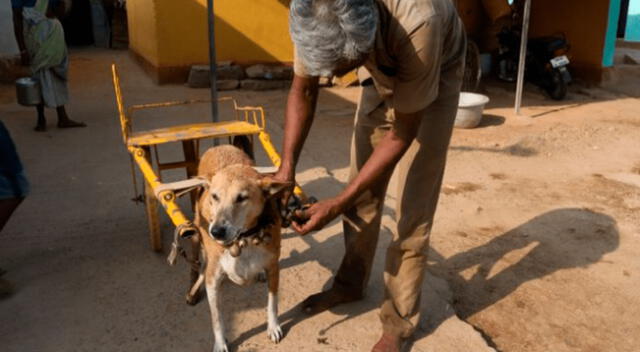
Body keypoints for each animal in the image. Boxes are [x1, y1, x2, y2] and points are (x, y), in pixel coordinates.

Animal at [189, 144, 288, 350]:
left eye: (242, 198)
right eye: (215, 197)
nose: (216, 231)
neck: (245, 239)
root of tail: (221, 146)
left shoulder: (274, 267)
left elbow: (272, 302)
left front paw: (273, 327)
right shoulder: (213, 280)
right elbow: (217, 318)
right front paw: (220, 344)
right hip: (196, 233)